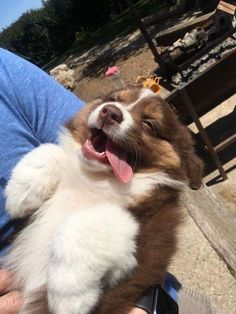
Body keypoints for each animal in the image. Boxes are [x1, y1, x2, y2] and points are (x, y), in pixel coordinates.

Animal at [2, 86, 203, 314]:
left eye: (149, 124)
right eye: (113, 99)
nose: (110, 112)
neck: (97, 177)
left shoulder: (146, 233)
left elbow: (87, 222)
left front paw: (68, 296)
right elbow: (53, 150)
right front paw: (19, 192)